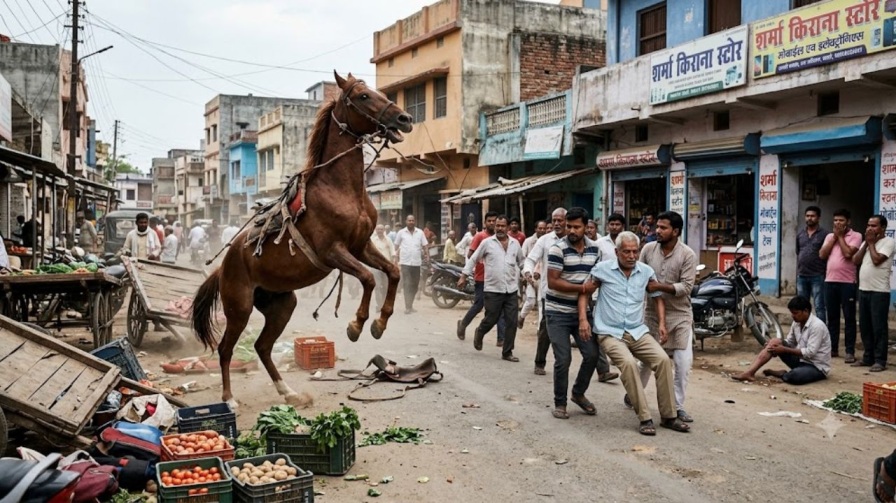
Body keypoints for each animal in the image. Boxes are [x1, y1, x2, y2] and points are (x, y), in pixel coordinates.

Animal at [191, 72, 413, 408]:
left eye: (380, 93)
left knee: (262, 347)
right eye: (362, 96)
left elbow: (393, 271)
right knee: (226, 348)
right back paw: (229, 398)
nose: (405, 118)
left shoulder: (362, 246)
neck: (340, 189)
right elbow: (367, 278)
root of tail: (224, 266)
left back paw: (289, 392)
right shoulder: (333, 251)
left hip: (282, 304)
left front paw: (379, 323)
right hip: (239, 308)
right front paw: (356, 325)